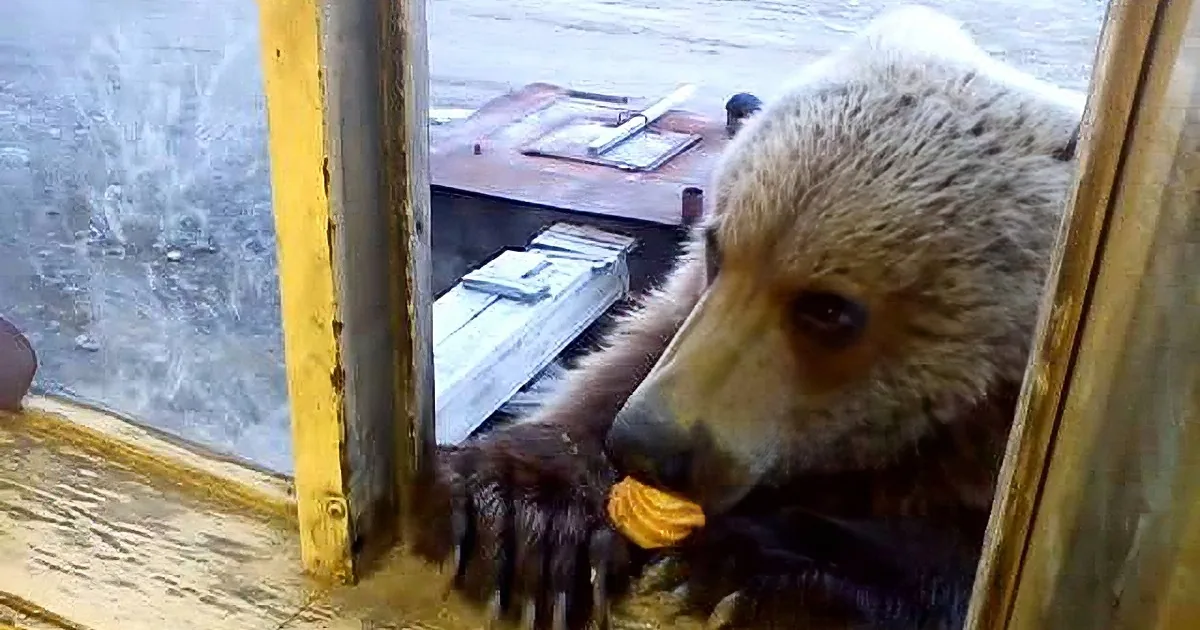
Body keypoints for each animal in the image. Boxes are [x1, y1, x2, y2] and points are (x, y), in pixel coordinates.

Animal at [412, 5, 1085, 630]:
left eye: (828, 309)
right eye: (717, 246)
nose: (647, 445)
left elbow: (958, 557)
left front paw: (743, 562)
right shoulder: (691, 309)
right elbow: (624, 360)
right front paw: (525, 516)